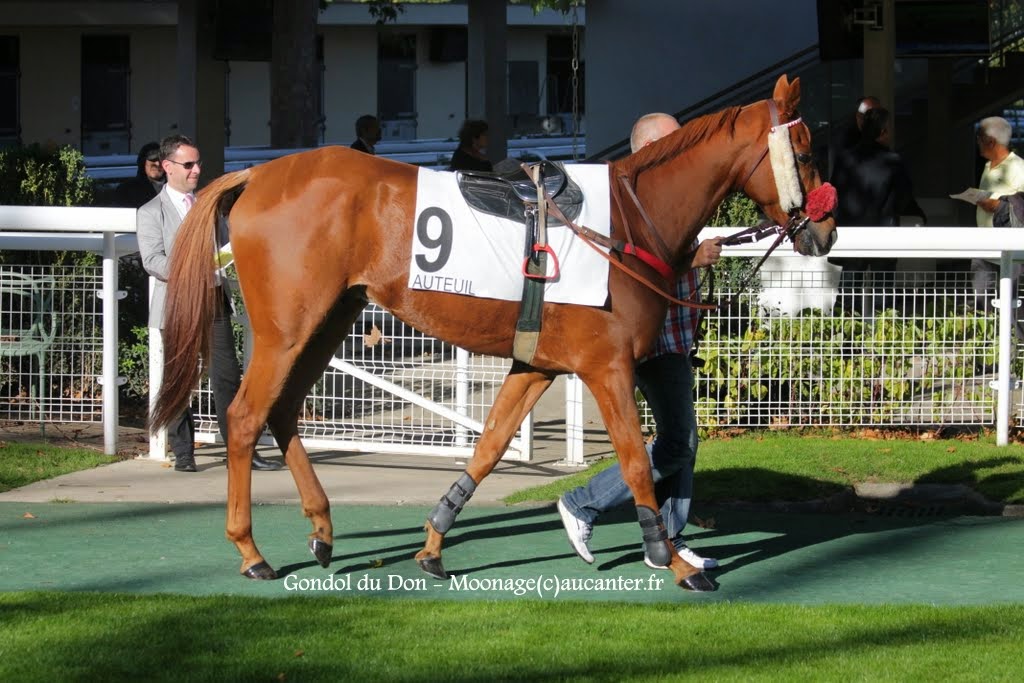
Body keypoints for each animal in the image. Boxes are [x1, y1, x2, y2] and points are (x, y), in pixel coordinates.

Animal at [153, 74, 839, 593]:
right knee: (244, 418)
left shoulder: (537, 364)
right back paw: (251, 551)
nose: (826, 232)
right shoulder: (607, 367)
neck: (626, 223)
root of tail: (257, 176)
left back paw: (322, 530)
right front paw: (672, 559)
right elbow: (637, 463)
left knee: (284, 410)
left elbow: (488, 448)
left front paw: (433, 544)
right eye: (805, 153)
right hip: (286, 329)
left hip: (331, 319)